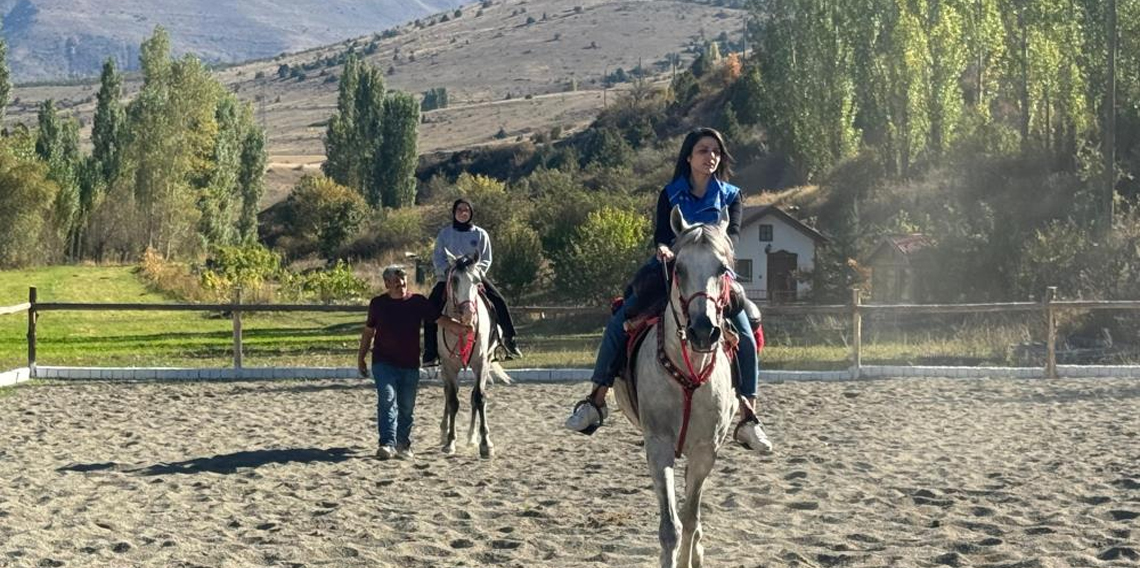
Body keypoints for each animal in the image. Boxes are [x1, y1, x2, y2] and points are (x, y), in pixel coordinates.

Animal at [435, 250, 513, 458]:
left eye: (478, 280)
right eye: (454, 279)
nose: (469, 314)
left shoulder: (481, 363)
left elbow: (479, 398)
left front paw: (485, 443)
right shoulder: (448, 366)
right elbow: (452, 401)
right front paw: (450, 441)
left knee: (473, 397)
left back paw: (471, 437)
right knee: (447, 393)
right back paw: (445, 431)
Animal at [615, 207, 738, 568]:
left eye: (722, 269)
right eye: (678, 269)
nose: (703, 331)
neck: (689, 372)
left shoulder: (705, 450)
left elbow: (690, 516)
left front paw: (691, 555)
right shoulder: (658, 446)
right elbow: (671, 525)